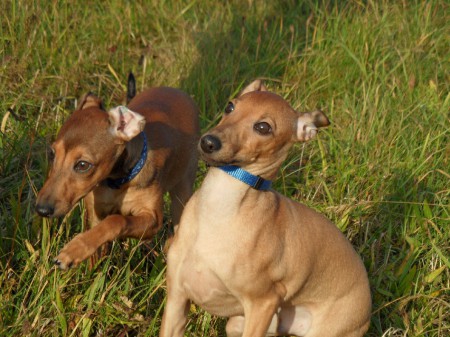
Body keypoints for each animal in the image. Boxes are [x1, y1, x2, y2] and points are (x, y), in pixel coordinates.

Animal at [33, 77, 199, 270]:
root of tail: (176, 91)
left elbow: (117, 220)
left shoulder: (153, 220)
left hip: (182, 191)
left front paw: (73, 250)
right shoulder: (96, 213)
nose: (42, 209)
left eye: (82, 165)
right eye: (52, 154)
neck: (117, 182)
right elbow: (98, 242)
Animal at [160, 80, 370, 334]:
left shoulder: (263, 304)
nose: (208, 142)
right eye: (230, 106)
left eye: (263, 127)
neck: (220, 206)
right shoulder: (177, 300)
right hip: (241, 324)